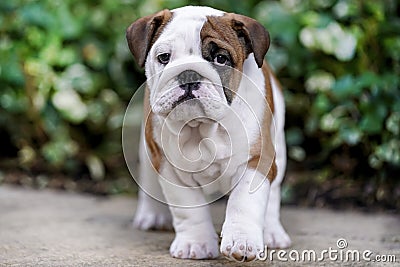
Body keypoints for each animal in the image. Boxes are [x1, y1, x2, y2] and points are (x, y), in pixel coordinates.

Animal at [126, 5, 292, 262]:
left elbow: (245, 203)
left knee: (273, 194)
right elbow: (188, 208)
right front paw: (196, 244)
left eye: (220, 59)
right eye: (164, 57)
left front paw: (242, 241)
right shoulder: (170, 169)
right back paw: (152, 215)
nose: (188, 74)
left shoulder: (257, 160)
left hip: (279, 151)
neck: (201, 128)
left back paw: (273, 232)